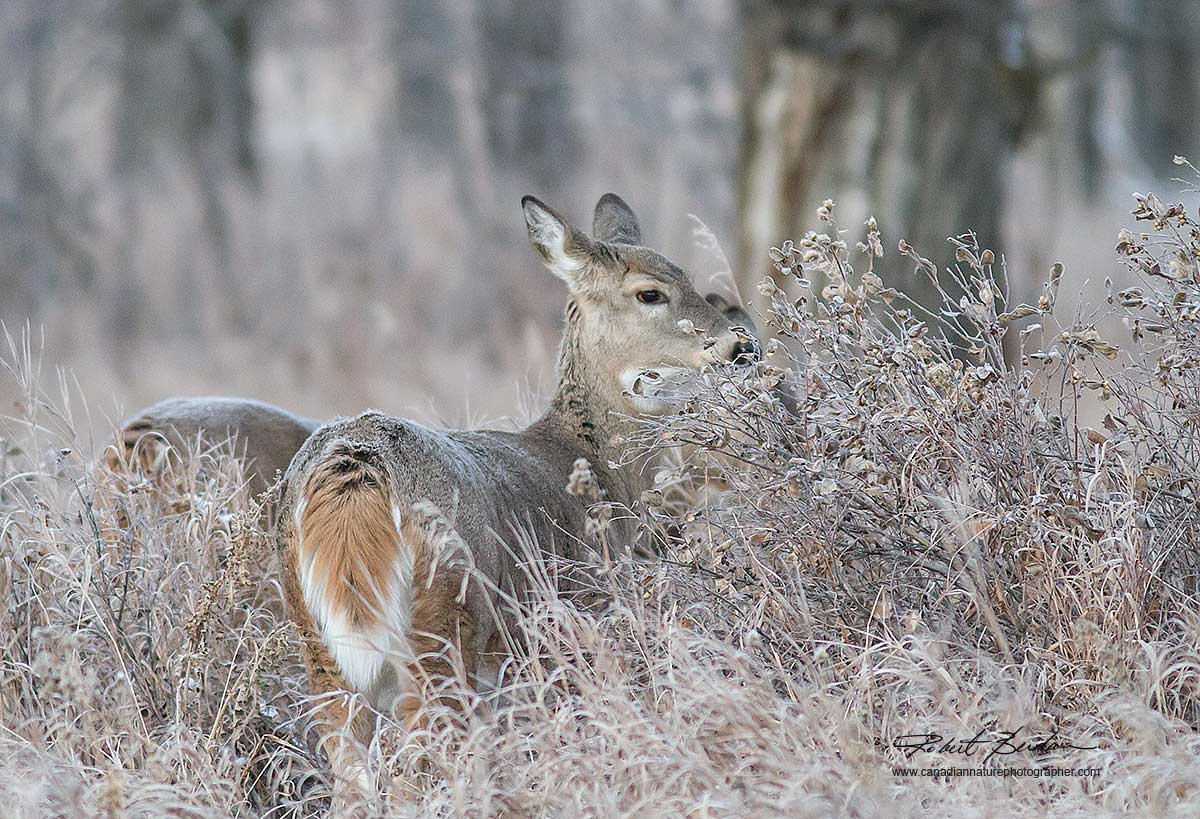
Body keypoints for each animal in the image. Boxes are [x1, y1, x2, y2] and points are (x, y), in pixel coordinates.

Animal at [271, 193, 758, 800]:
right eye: (650, 292)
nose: (740, 346)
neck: (593, 465)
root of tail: (356, 468)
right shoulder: (568, 630)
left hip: (317, 644)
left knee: (353, 772)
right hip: (445, 623)